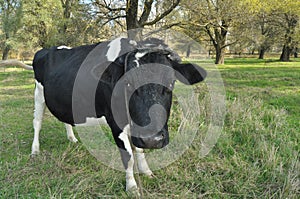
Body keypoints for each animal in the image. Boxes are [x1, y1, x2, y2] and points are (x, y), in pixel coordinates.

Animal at [4, 37, 209, 193]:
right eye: (127, 83)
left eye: (171, 82)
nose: (153, 139)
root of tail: (46, 50)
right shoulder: (116, 123)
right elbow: (128, 157)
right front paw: (132, 187)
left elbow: (139, 151)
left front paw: (147, 172)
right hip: (39, 94)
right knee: (37, 122)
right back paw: (35, 150)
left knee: (65, 119)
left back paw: (72, 138)